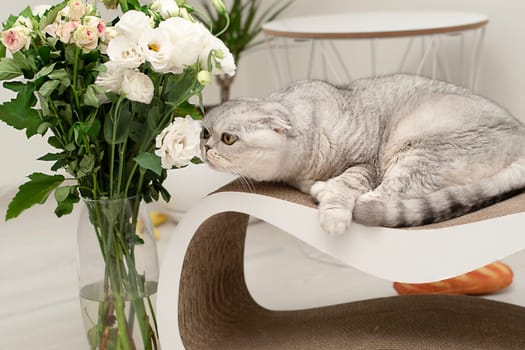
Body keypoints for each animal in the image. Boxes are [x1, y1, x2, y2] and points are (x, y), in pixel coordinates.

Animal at [200, 74, 524, 234]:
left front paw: (332, 209)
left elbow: (347, 184)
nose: (205, 148)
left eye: (228, 138)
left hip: (418, 153)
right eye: (204, 132)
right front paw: (317, 186)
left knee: (381, 197)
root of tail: (520, 132)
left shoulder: (366, 163)